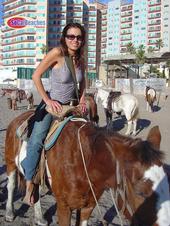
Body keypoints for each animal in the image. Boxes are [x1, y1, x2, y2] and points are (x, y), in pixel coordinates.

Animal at [3, 110, 170, 225]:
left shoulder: (88, 207)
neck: (84, 163)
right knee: (11, 185)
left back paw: (39, 218)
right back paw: (9, 213)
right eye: (140, 192)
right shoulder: (64, 207)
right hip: (10, 163)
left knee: (35, 189)